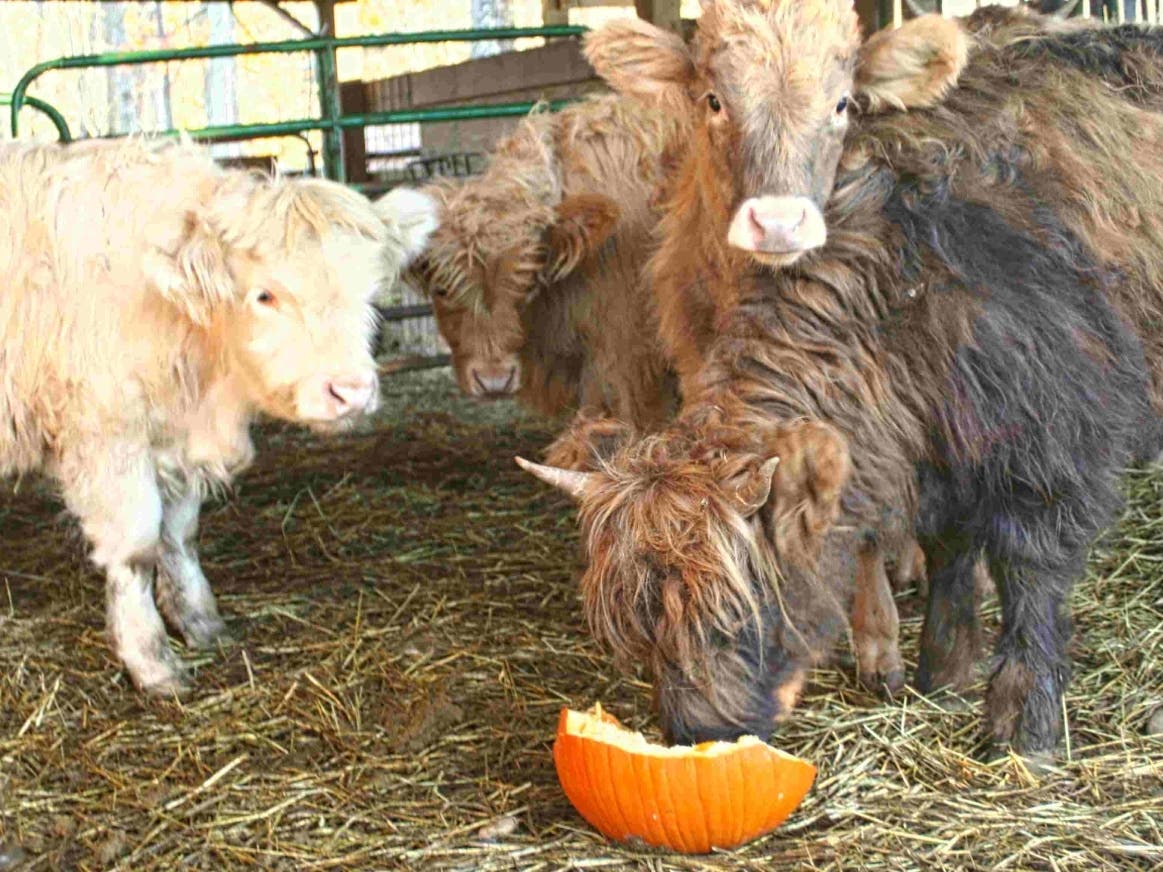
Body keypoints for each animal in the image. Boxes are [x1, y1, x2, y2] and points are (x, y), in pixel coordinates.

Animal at [0, 138, 435, 694]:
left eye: (370, 293)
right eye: (265, 294)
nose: (351, 392)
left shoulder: (177, 444)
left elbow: (179, 535)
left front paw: (201, 622)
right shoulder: (108, 439)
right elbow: (137, 548)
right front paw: (152, 662)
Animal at [518, 4, 1163, 757]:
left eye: (738, 613)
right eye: (642, 630)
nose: (695, 734)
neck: (902, 290)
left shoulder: (1054, 444)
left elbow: (1030, 573)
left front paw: (1020, 723)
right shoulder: (935, 451)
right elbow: (947, 550)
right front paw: (942, 671)